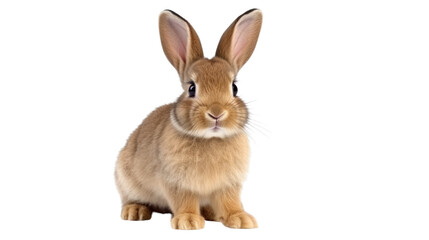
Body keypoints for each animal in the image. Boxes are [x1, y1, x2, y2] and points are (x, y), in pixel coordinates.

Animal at [114, 8, 260, 230]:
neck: (211, 139)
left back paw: (211, 213)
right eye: (192, 88)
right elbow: (184, 200)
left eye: (234, 88)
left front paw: (241, 219)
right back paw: (135, 211)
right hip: (126, 179)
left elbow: (230, 201)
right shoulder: (177, 182)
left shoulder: (228, 185)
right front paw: (188, 221)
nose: (216, 113)